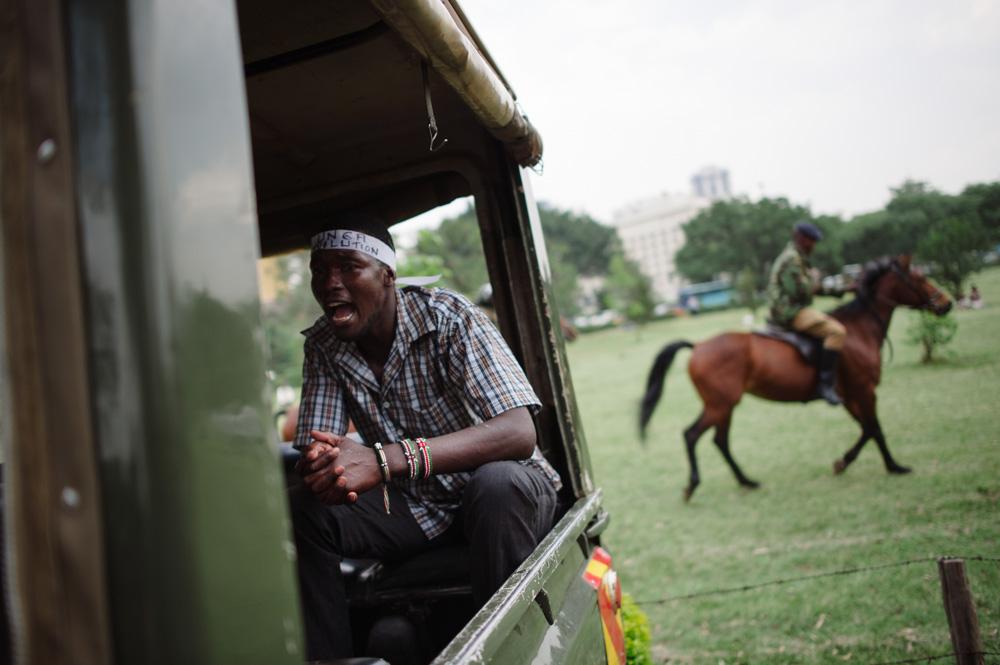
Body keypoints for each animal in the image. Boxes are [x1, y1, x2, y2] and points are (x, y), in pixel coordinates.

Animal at [638, 256, 952, 501]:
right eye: (920, 277)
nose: (947, 303)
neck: (859, 330)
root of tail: (698, 346)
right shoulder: (865, 390)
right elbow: (875, 428)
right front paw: (893, 466)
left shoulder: (851, 395)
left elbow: (867, 429)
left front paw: (843, 463)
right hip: (720, 405)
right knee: (692, 435)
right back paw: (693, 486)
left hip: (723, 405)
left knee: (720, 441)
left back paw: (746, 481)